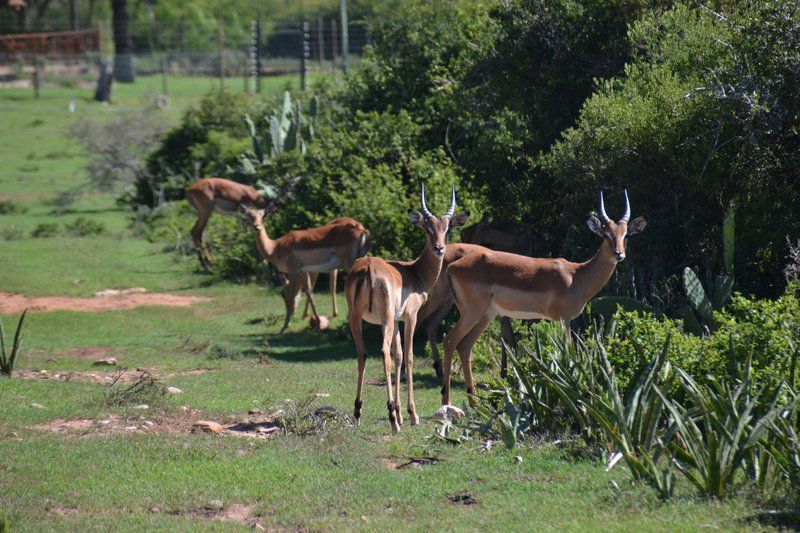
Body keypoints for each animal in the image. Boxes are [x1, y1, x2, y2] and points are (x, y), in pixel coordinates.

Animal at [242, 208, 370, 332]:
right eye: (250, 215)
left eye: (262, 215)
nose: (256, 227)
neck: (275, 247)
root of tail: (361, 230)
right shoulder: (303, 271)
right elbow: (308, 291)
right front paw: (316, 321)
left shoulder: (293, 270)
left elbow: (294, 293)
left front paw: (284, 327)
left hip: (349, 264)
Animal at [348, 185, 472, 430]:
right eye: (428, 228)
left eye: (447, 229)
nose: (439, 248)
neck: (413, 273)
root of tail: (367, 268)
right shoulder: (410, 317)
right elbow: (409, 356)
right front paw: (410, 414)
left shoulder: (397, 320)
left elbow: (399, 356)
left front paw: (400, 412)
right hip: (384, 320)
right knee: (383, 353)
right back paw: (391, 419)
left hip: (357, 319)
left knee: (363, 354)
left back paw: (358, 411)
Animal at [440, 190, 648, 404]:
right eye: (606, 234)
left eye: (626, 234)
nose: (619, 254)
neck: (577, 276)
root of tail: (452, 266)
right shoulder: (564, 319)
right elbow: (569, 353)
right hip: (472, 313)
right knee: (449, 341)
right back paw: (447, 400)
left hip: (486, 315)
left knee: (464, 346)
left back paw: (474, 402)